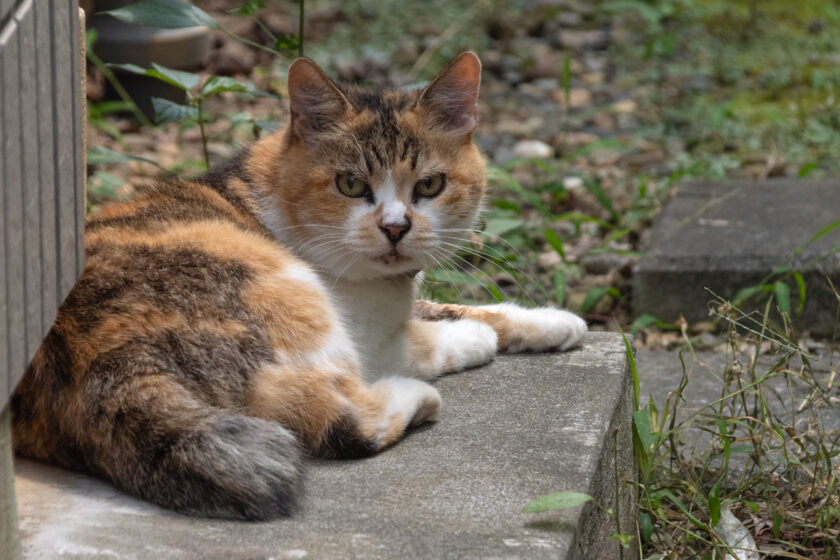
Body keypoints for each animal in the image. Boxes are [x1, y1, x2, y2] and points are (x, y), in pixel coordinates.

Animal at [9, 52, 584, 520]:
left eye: (430, 184)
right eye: (350, 184)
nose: (396, 228)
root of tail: (102, 365)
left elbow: (458, 305)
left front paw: (553, 322)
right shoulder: (368, 338)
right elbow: (433, 335)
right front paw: (475, 339)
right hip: (287, 292)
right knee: (342, 420)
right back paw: (415, 397)